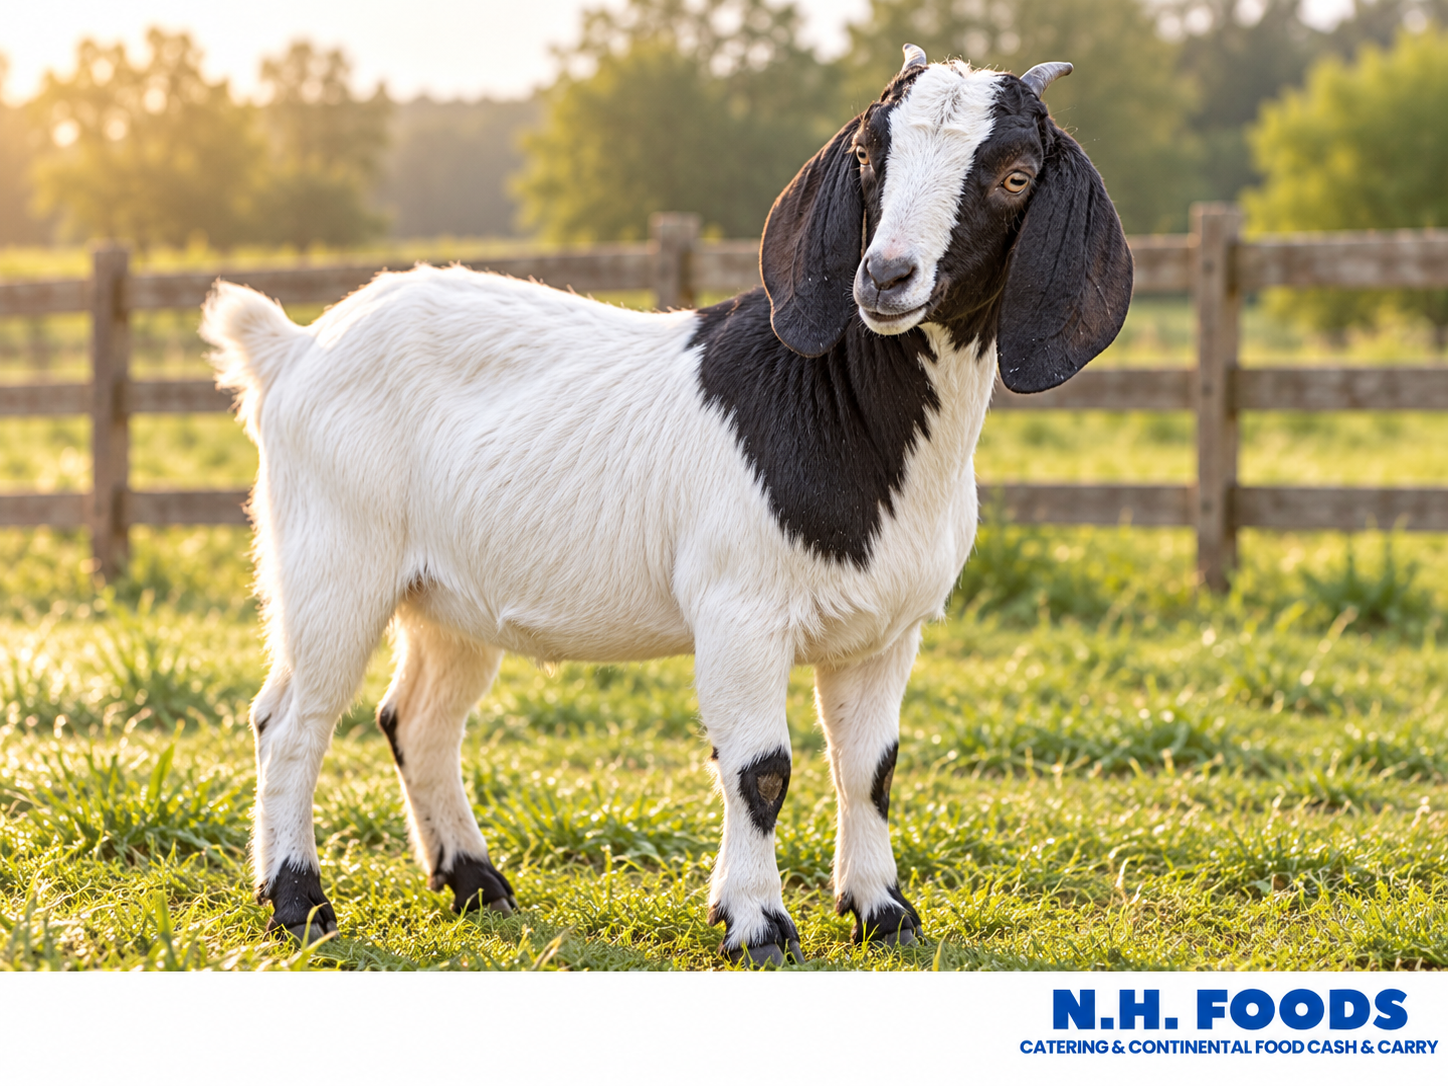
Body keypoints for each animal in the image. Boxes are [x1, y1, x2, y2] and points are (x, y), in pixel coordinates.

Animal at [200, 47, 1132, 965]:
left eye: (1015, 176)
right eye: (870, 154)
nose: (885, 275)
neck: (833, 408)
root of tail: (294, 348)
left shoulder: (885, 631)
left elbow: (871, 767)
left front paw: (883, 913)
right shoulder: (739, 612)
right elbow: (761, 769)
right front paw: (757, 925)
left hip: (446, 597)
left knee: (417, 721)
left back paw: (475, 884)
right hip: (331, 560)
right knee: (292, 721)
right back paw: (298, 905)